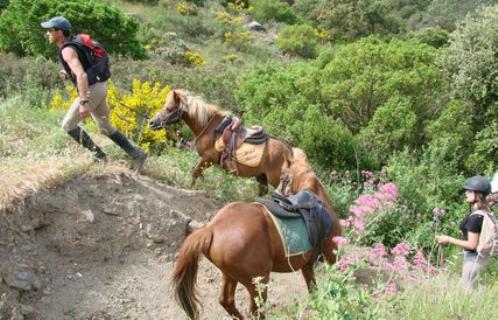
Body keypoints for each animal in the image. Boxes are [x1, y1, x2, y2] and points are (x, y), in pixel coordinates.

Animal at [150, 90, 294, 195]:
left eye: (169, 108)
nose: (152, 123)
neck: (209, 127)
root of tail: (288, 152)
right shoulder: (204, 160)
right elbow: (197, 172)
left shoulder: (208, 158)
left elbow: (195, 172)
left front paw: (190, 189)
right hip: (262, 177)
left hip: (276, 179)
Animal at [172, 150, 342, 320]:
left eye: (282, 178)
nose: (277, 193)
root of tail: (212, 228)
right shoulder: (333, 259)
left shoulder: (306, 265)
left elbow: (313, 291)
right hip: (258, 283)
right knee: (256, 312)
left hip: (230, 275)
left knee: (227, 301)